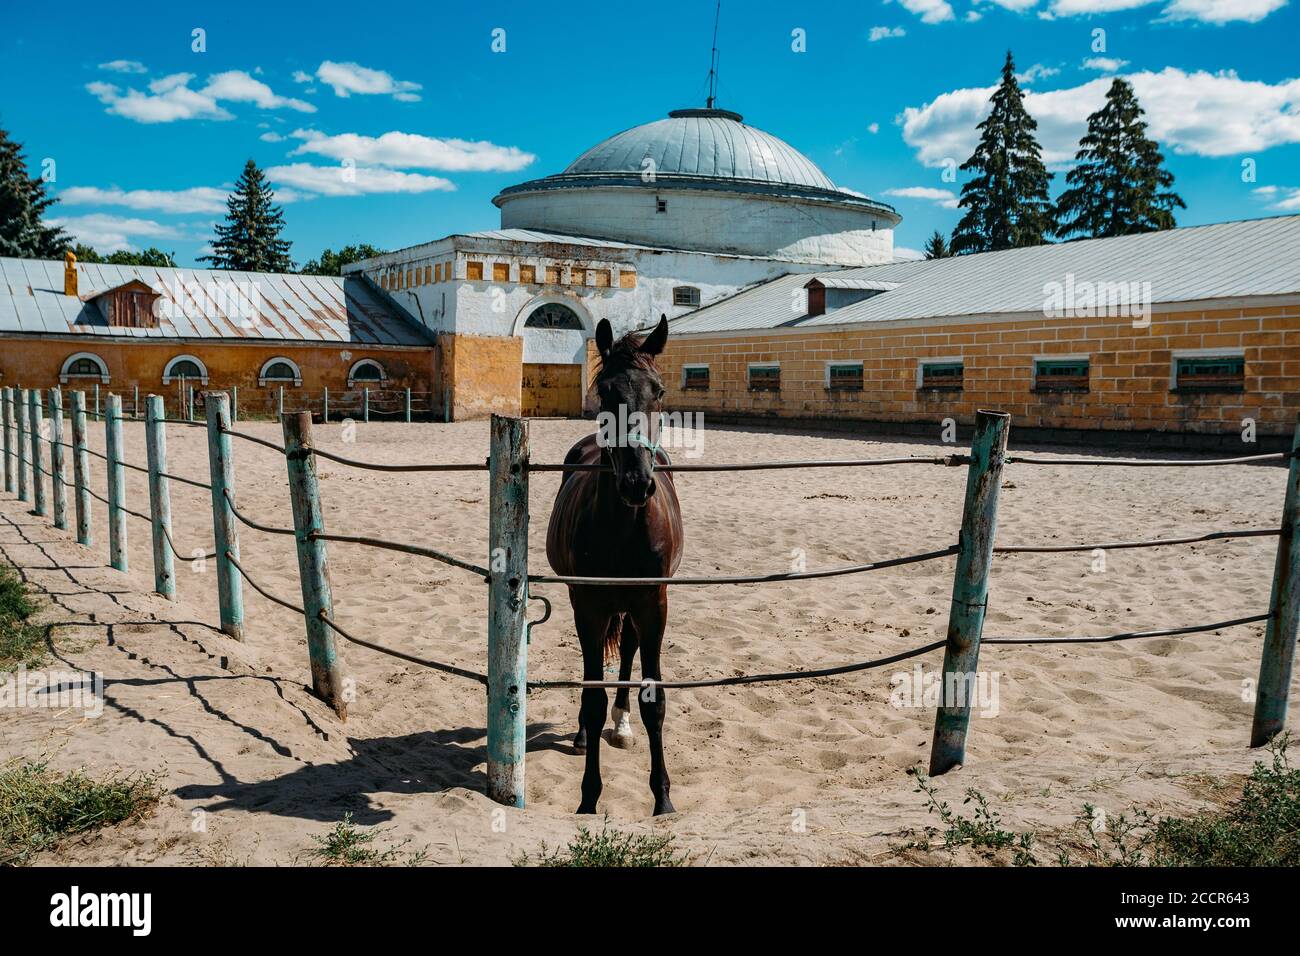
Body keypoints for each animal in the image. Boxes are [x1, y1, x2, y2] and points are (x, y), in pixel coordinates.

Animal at [543, 314, 686, 816]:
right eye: (605, 392)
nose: (637, 482)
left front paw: (663, 797)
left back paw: (622, 726)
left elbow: (654, 701)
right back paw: (588, 735)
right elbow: (592, 697)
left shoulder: (654, 603)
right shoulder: (588, 603)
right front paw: (588, 797)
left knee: (625, 650)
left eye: (658, 390)